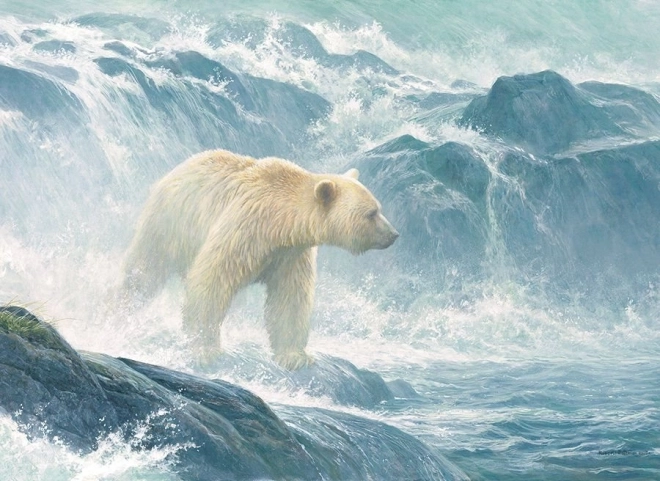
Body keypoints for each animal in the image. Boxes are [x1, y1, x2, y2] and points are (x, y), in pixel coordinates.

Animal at [122, 149, 399, 369]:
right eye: (371, 213)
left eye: (379, 208)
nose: (393, 235)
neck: (282, 222)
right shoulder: (246, 228)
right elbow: (212, 280)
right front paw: (205, 349)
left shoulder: (291, 254)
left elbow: (290, 299)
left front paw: (295, 356)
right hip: (168, 223)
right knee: (143, 270)